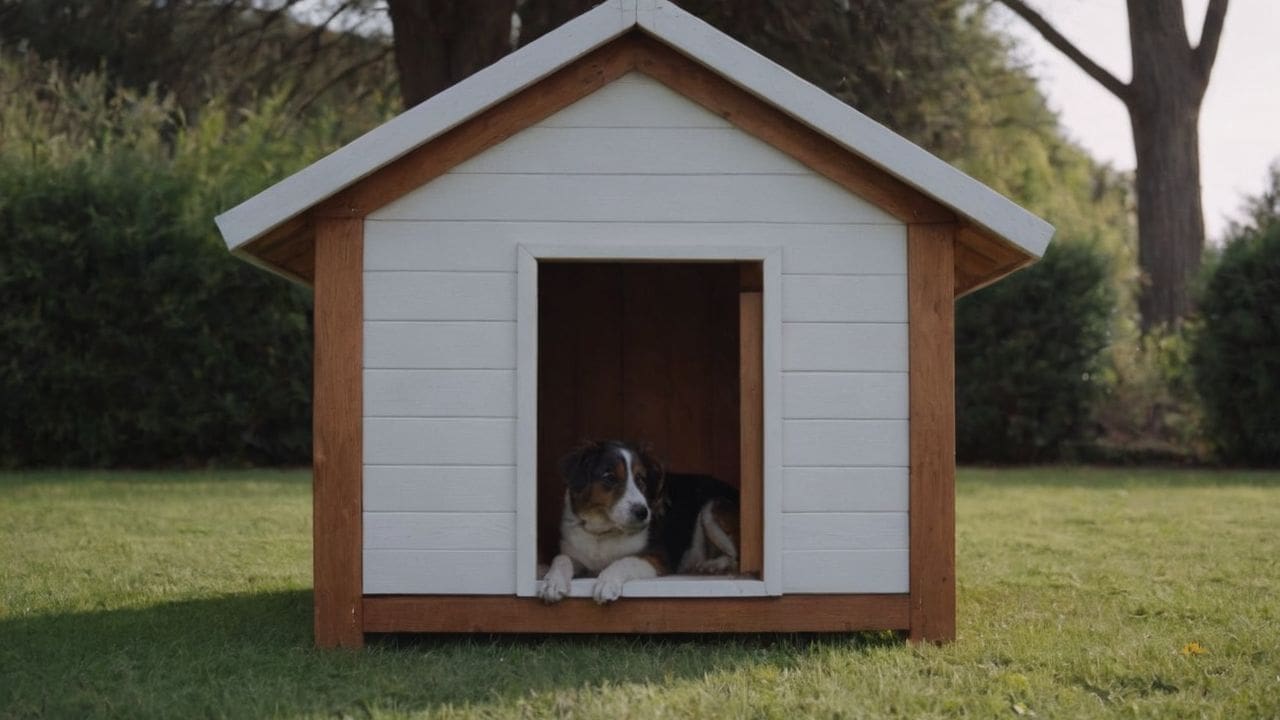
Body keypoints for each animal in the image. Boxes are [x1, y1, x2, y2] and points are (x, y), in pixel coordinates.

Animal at [537, 438, 742, 599]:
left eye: (641, 479)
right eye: (609, 477)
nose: (642, 512)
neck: (604, 532)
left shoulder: (658, 557)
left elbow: (627, 560)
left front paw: (607, 582)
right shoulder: (576, 554)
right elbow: (561, 557)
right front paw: (552, 582)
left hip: (712, 507)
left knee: (735, 555)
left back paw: (713, 565)